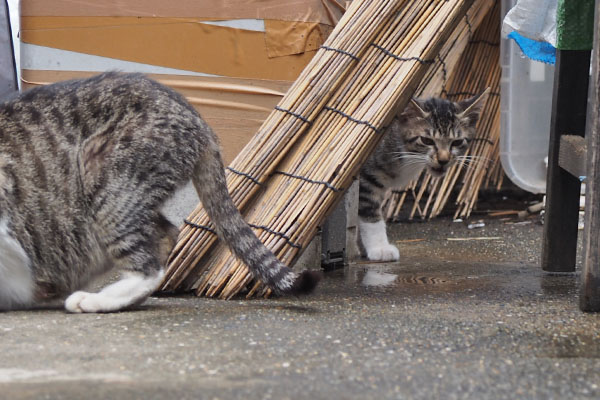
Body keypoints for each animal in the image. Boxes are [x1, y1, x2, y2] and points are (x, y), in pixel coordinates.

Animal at [356, 90, 488, 262]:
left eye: (457, 142)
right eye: (426, 140)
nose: (443, 160)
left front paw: (362, 247)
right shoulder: (366, 176)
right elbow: (369, 209)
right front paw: (379, 248)